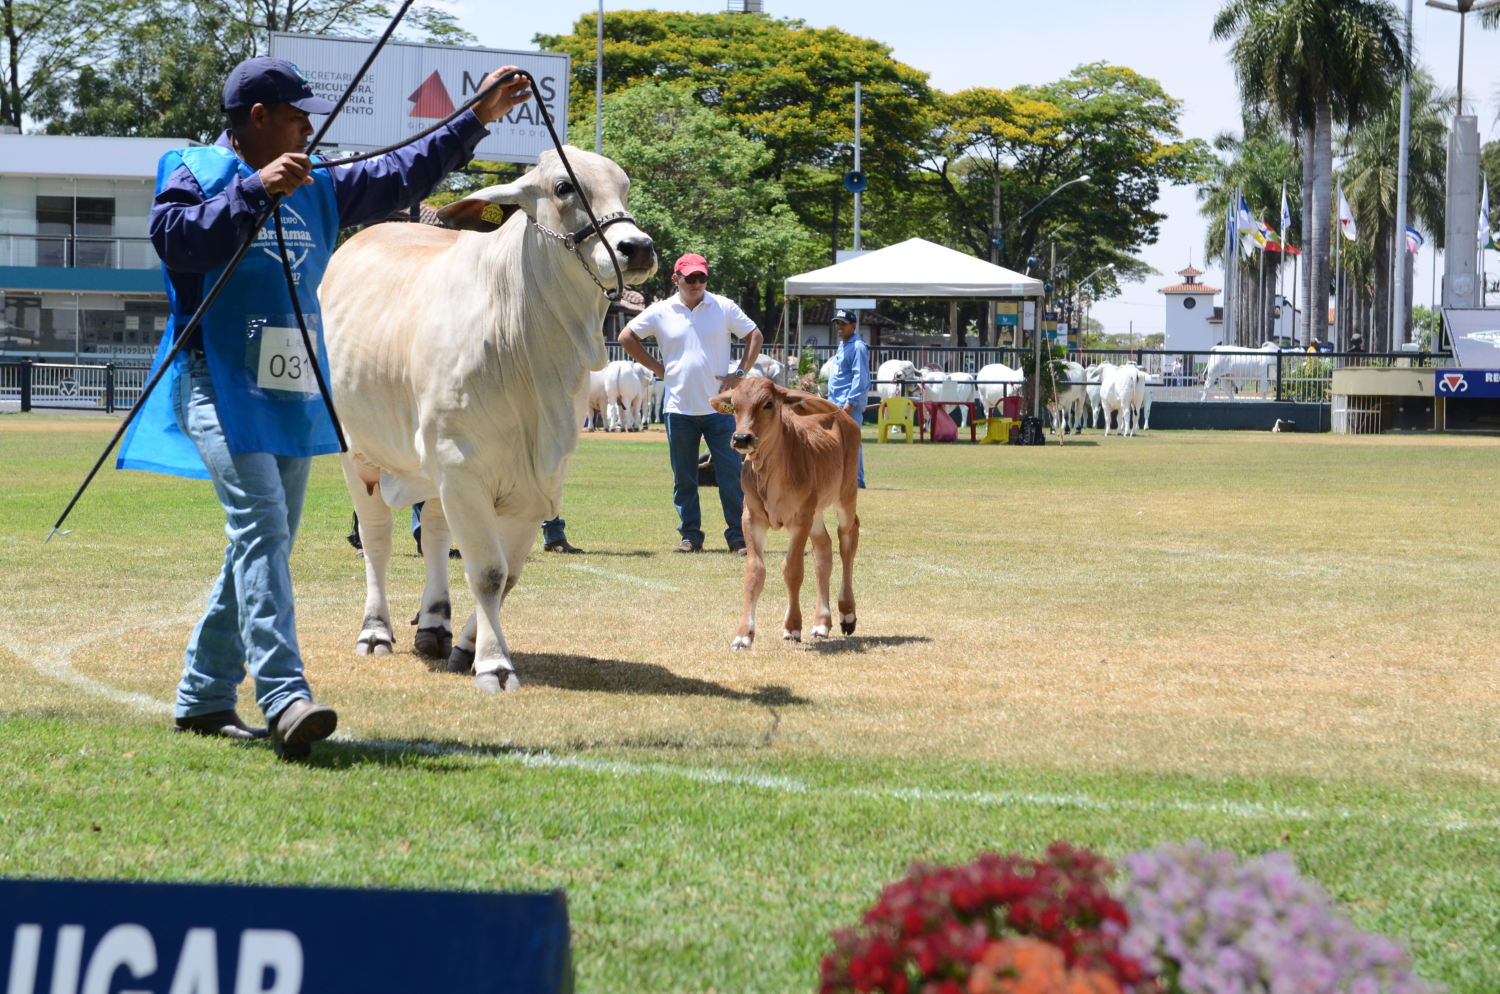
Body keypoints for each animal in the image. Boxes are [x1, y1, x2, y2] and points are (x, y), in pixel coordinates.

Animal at [322, 146, 657, 692]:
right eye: (564, 187)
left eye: (624, 186)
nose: (638, 247)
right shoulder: (462, 469)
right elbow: (487, 573)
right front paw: (495, 665)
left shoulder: (534, 483)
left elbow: (507, 576)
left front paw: (467, 647)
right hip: (360, 453)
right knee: (377, 540)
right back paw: (375, 631)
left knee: (435, 534)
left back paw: (434, 625)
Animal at [711, 377, 864, 650]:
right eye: (735, 406)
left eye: (768, 403)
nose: (741, 438)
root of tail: (844, 417)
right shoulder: (751, 518)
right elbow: (755, 571)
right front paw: (743, 635)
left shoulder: (800, 518)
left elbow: (792, 569)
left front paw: (792, 627)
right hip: (816, 511)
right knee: (823, 550)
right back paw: (821, 623)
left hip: (845, 495)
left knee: (848, 539)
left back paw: (847, 614)